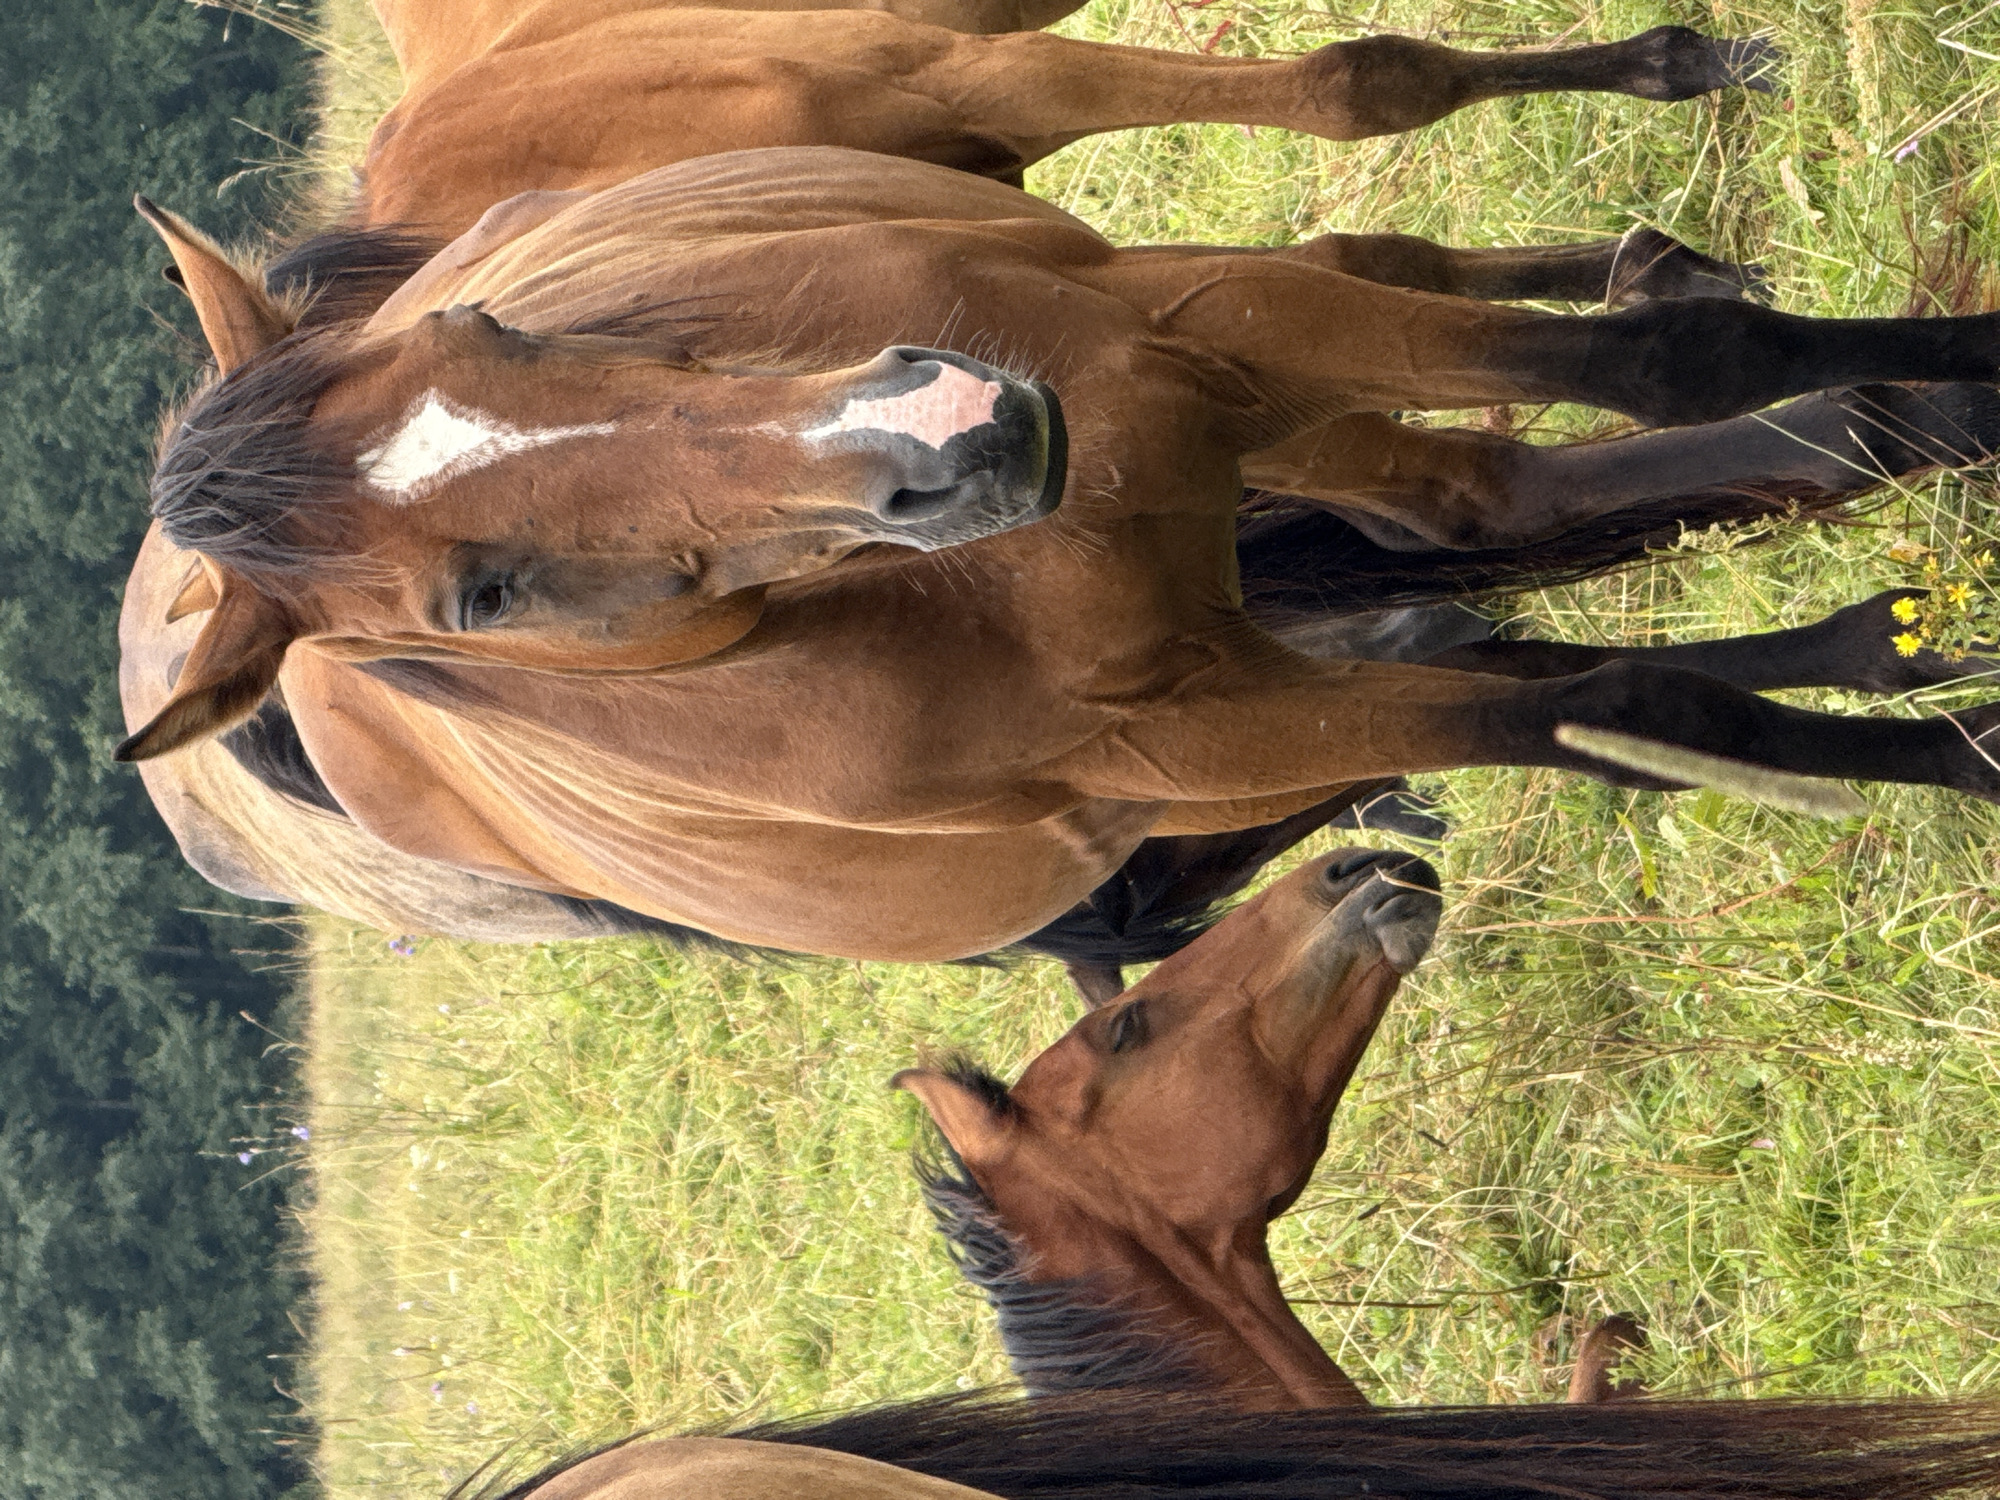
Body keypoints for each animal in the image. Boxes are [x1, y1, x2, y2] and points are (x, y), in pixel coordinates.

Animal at [120, 148, 2000, 962]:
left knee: (1481, 477)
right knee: (1501, 590)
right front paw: (1954, 761)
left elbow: (1678, 378)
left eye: (498, 330)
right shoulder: (1208, 732)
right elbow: (1606, 705)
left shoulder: (1210, 335)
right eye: (484, 594)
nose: (945, 437)